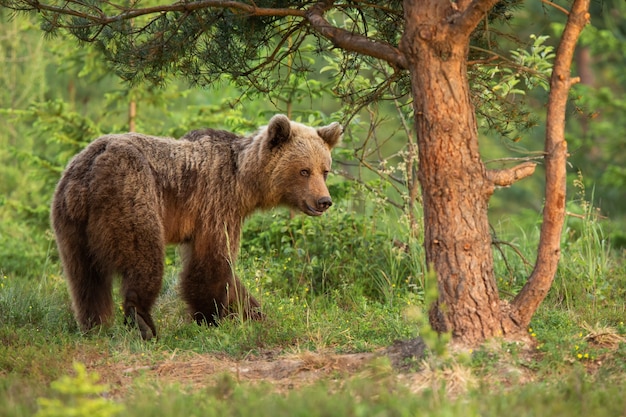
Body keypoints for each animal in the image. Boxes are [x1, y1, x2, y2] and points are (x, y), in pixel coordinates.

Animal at [50, 113, 342, 338]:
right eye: (304, 171)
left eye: (325, 170)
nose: (324, 201)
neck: (244, 181)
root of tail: (90, 167)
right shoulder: (216, 202)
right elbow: (212, 263)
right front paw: (213, 317)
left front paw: (254, 314)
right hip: (131, 195)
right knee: (144, 259)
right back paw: (143, 323)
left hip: (70, 223)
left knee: (85, 278)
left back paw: (94, 324)